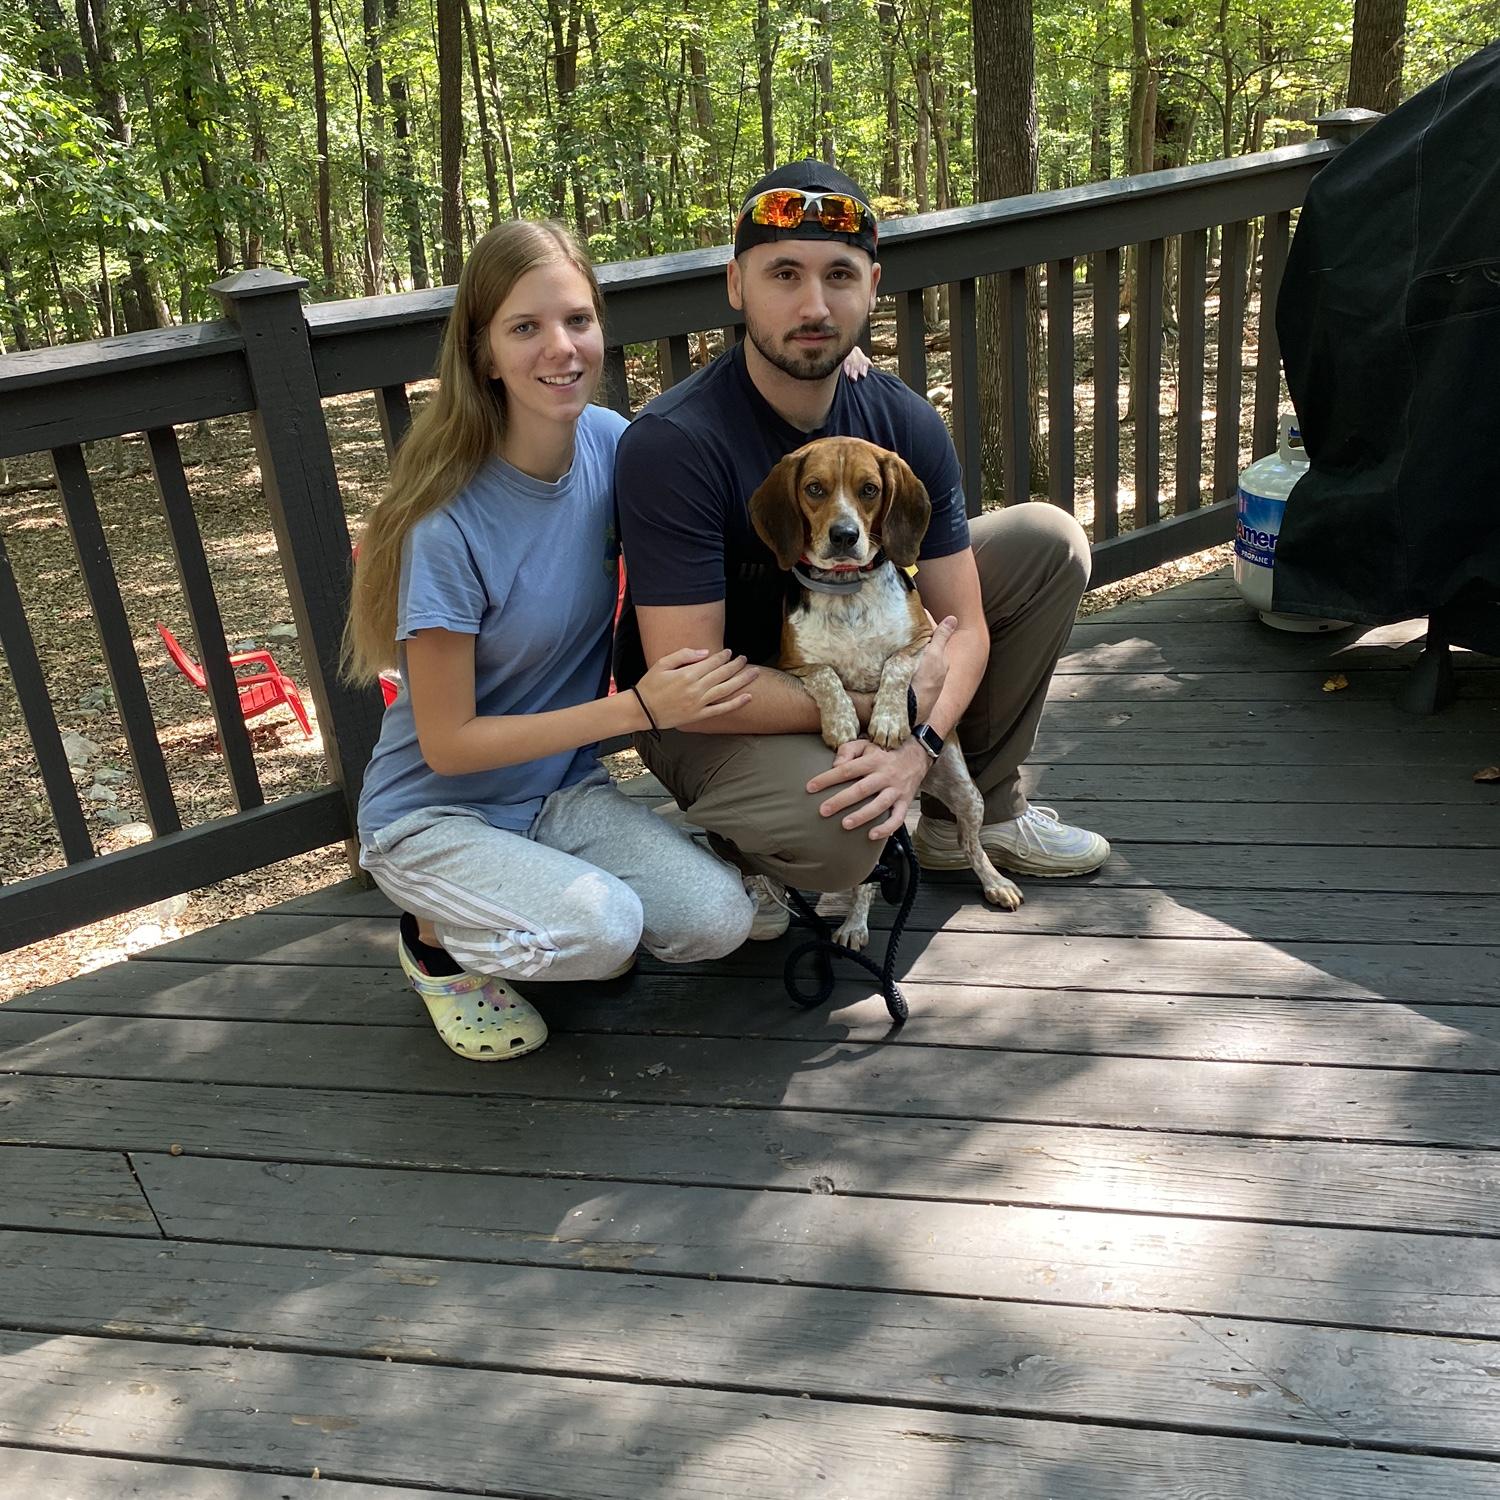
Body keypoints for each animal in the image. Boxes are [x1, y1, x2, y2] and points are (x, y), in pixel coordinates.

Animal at [749, 436, 1022, 951]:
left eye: (869, 489)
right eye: (814, 488)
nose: (844, 535)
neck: (846, 590)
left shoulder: (929, 643)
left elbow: (895, 666)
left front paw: (890, 720)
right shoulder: (788, 666)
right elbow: (826, 674)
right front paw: (842, 721)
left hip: (967, 794)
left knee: (970, 843)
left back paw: (995, 882)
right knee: (865, 884)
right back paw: (854, 926)